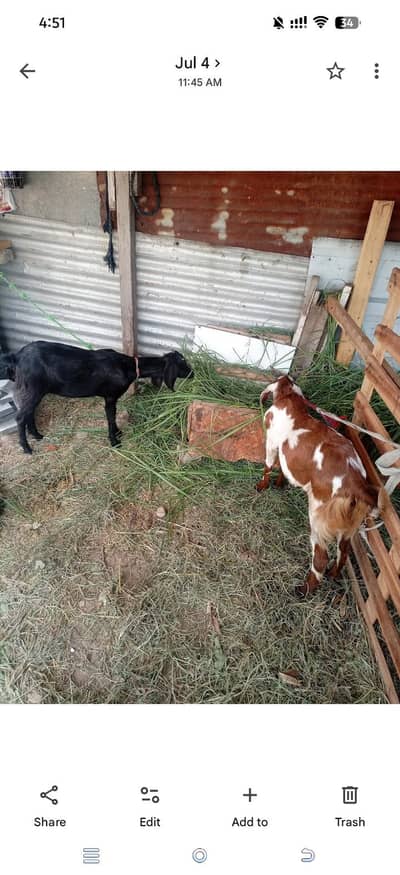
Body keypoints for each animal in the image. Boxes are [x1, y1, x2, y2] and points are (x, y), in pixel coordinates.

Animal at [0, 341, 193, 454]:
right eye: (182, 364)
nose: (193, 374)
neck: (128, 366)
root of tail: (17, 357)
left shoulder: (111, 397)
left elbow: (112, 417)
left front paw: (118, 433)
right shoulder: (110, 396)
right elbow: (110, 417)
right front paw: (115, 441)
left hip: (35, 390)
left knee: (29, 413)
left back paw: (37, 435)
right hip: (33, 388)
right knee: (20, 417)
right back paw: (27, 448)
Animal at [256, 374, 386, 596]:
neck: (291, 399)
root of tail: (358, 485)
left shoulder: (272, 442)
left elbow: (269, 465)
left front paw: (261, 486)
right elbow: (283, 467)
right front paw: (281, 483)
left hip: (318, 517)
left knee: (321, 557)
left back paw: (304, 590)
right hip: (348, 527)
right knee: (343, 553)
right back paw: (333, 575)